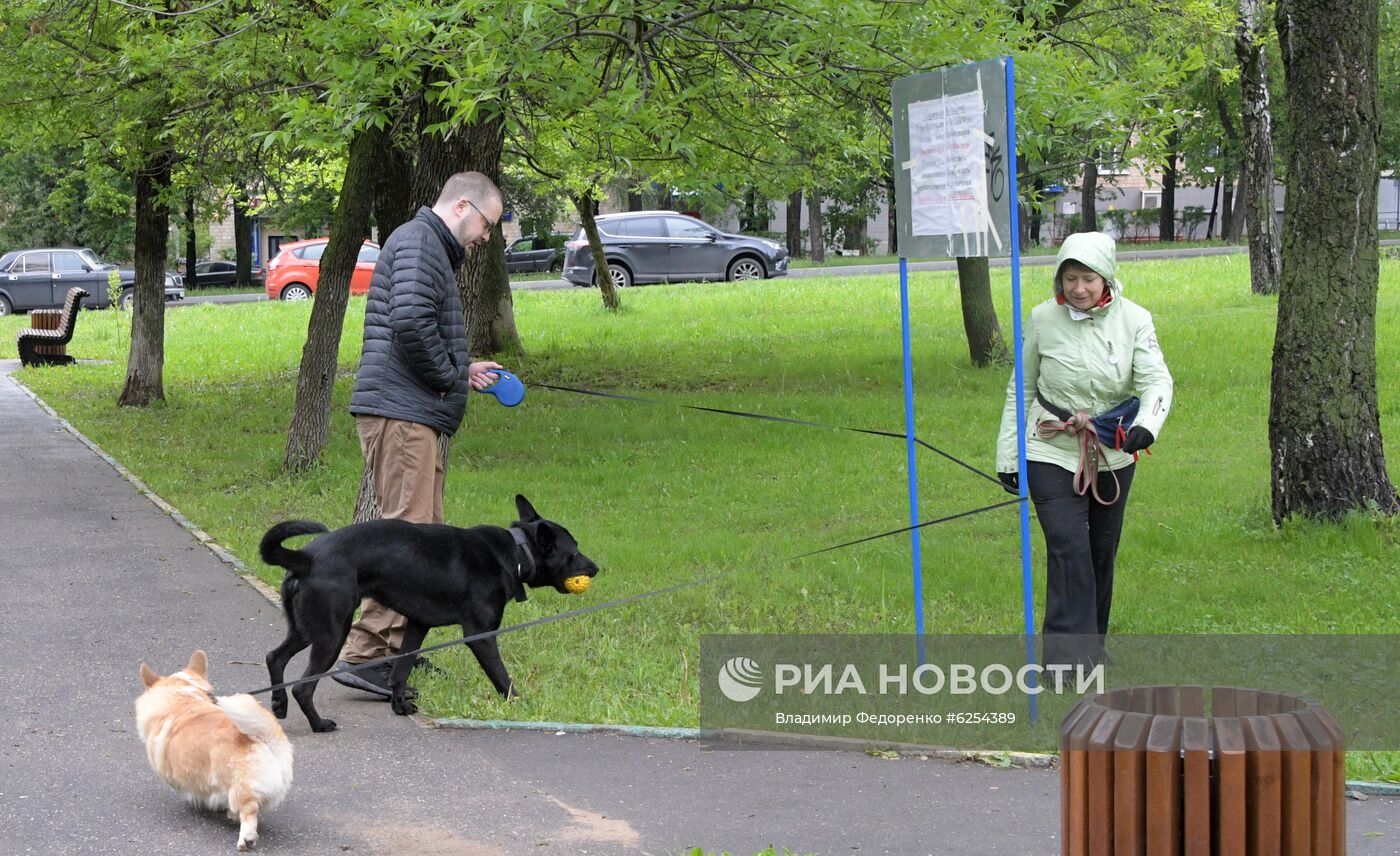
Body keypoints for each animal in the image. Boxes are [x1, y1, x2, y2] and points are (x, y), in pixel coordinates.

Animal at [263, 495, 596, 728]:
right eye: (574, 551)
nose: (596, 568)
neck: (516, 551)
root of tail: (306, 557)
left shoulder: (417, 625)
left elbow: (401, 670)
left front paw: (400, 706)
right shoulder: (481, 635)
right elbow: (503, 676)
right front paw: (518, 705)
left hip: (306, 629)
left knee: (274, 657)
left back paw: (279, 704)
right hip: (332, 632)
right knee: (303, 688)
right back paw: (319, 724)